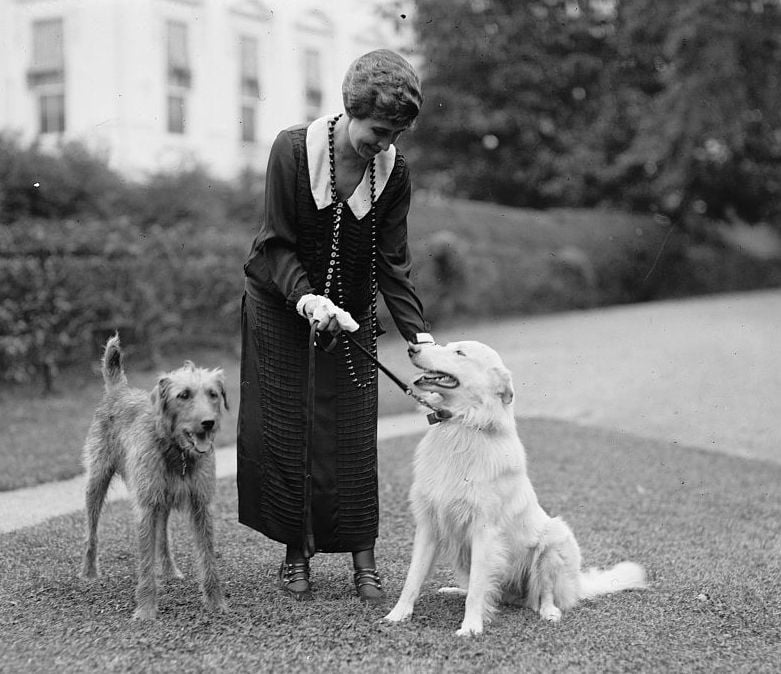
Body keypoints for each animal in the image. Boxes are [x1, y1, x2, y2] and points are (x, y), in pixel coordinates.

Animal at [384, 342, 644, 636]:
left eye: (459, 353)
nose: (413, 347)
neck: (463, 423)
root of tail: (577, 585)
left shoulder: (484, 531)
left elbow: (478, 588)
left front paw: (471, 628)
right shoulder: (428, 526)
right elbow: (413, 577)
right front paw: (397, 615)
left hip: (554, 541)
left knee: (542, 595)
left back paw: (549, 612)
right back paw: (455, 590)